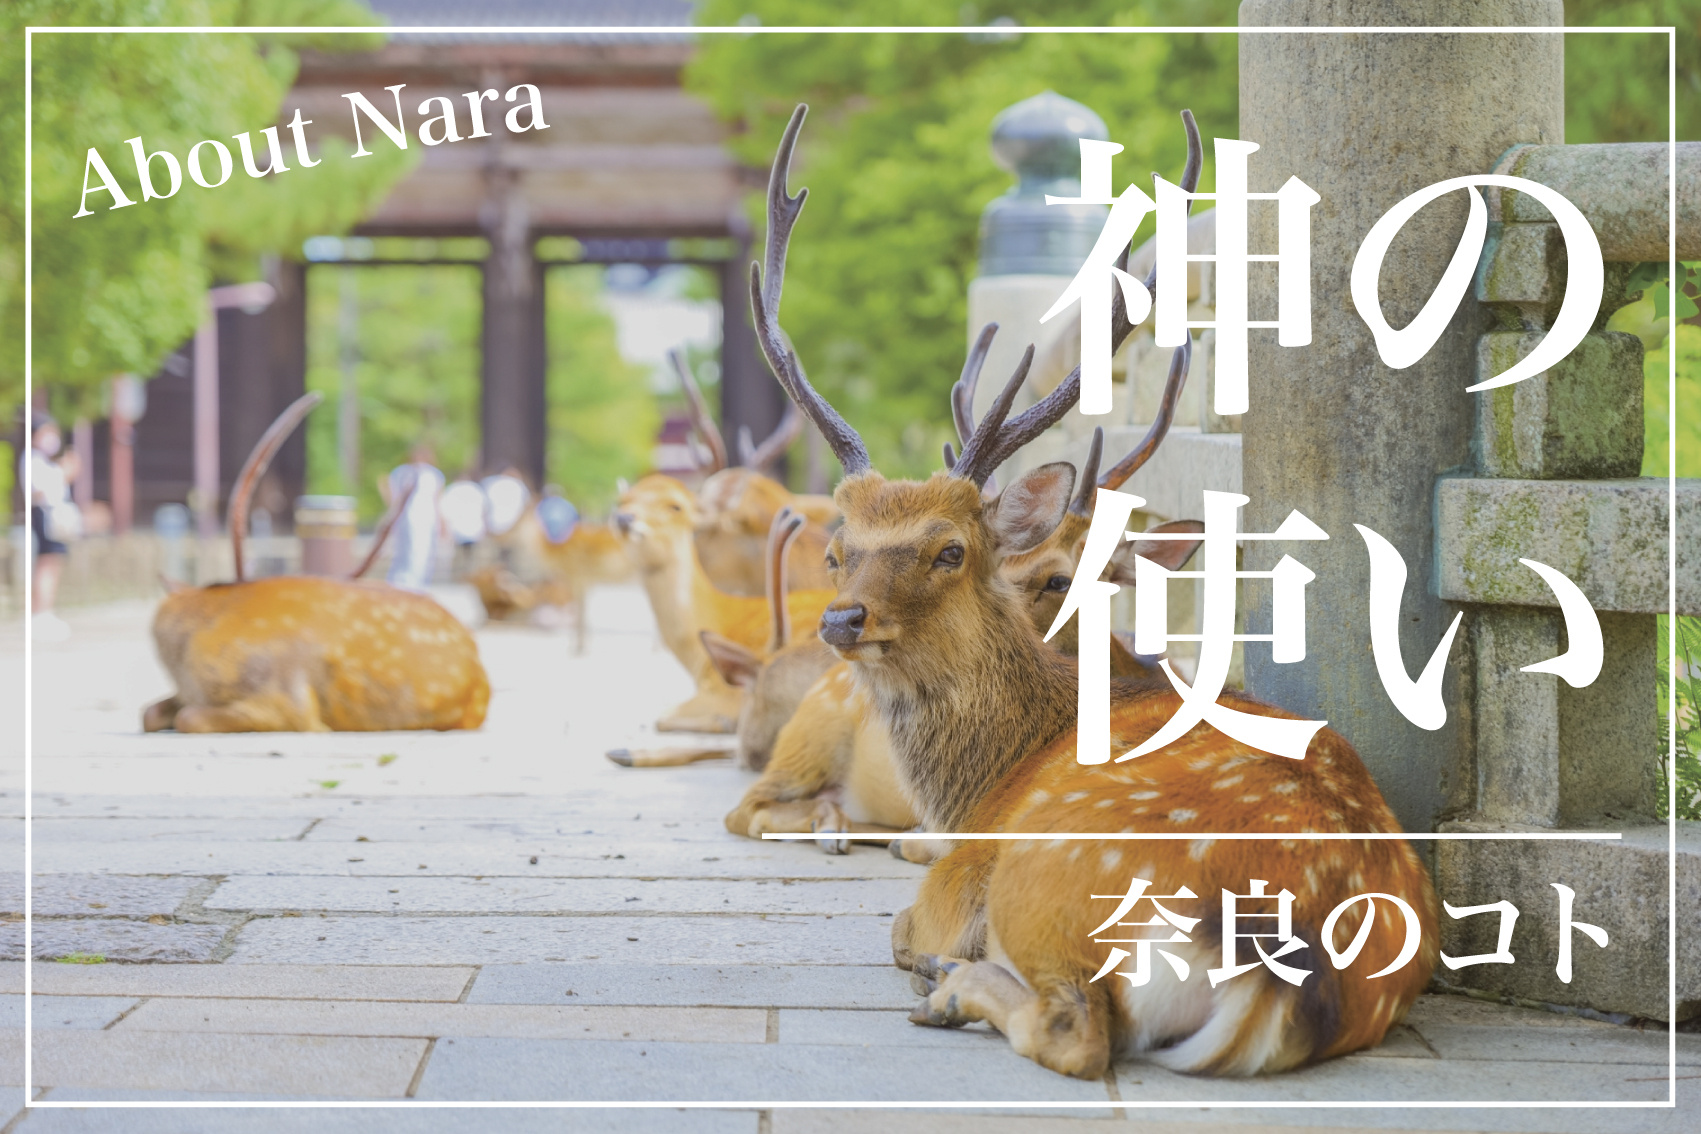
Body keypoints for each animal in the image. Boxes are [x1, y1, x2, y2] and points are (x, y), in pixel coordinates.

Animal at [748, 103, 1439, 1079]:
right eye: (838, 550)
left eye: (950, 549)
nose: (843, 619)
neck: (984, 778)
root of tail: (1276, 957)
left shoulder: (957, 871)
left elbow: (898, 927)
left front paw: (932, 963)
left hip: (1049, 877)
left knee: (1074, 1030)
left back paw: (954, 990)